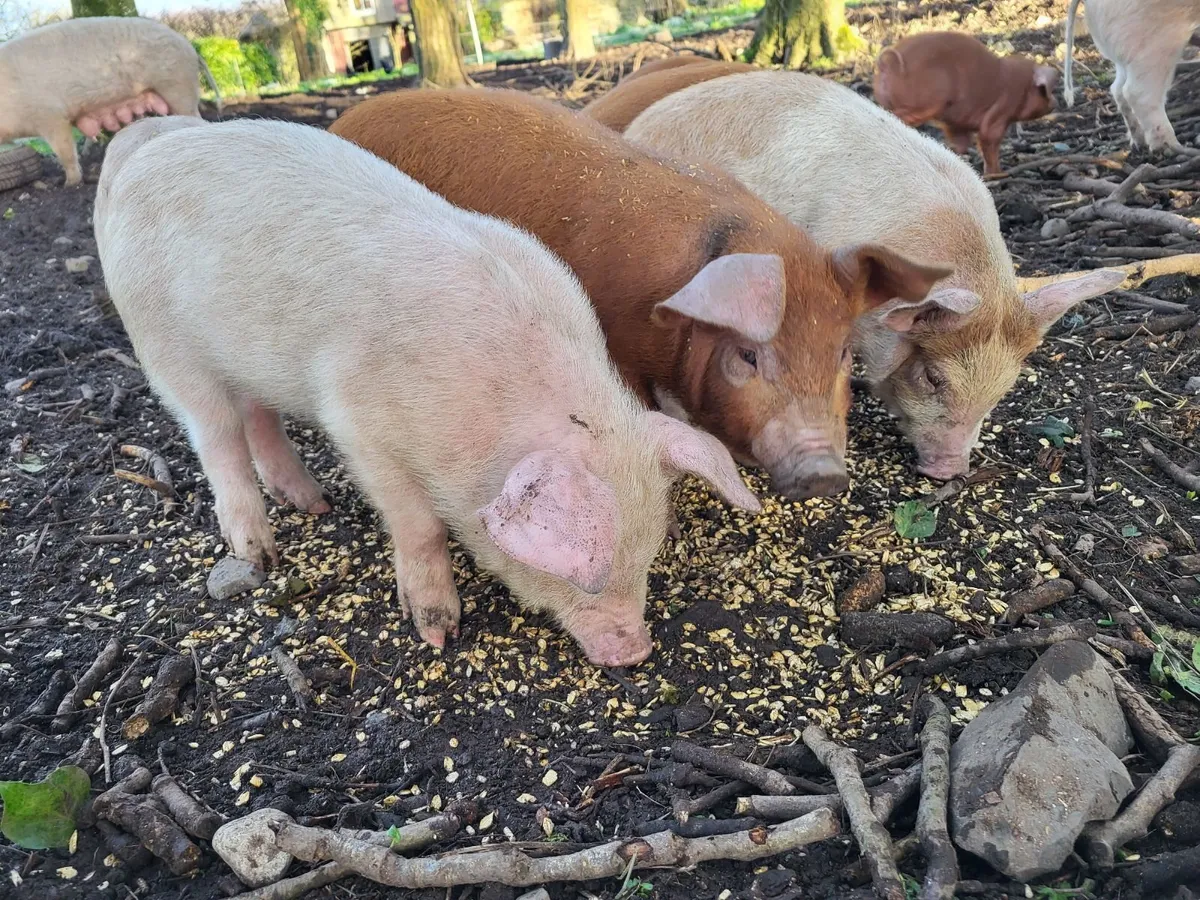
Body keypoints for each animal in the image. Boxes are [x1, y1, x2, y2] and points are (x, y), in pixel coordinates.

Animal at [95, 116, 763, 668]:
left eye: (648, 557)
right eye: (584, 577)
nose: (635, 652)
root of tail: (140, 160)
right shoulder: (361, 426)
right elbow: (419, 525)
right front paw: (439, 632)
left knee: (261, 418)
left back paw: (314, 505)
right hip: (164, 343)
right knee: (217, 437)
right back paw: (261, 556)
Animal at [872, 32, 1059, 175]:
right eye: (1046, 91)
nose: (1055, 102)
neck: (1021, 86)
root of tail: (890, 63)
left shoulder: (956, 124)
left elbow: (961, 143)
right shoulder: (999, 114)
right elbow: (989, 141)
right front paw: (999, 174)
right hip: (930, 99)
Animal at [1065, 0, 1200, 154]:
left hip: (1125, 56)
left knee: (1118, 89)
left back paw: (1139, 142)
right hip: (1155, 42)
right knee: (1138, 93)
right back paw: (1173, 147)